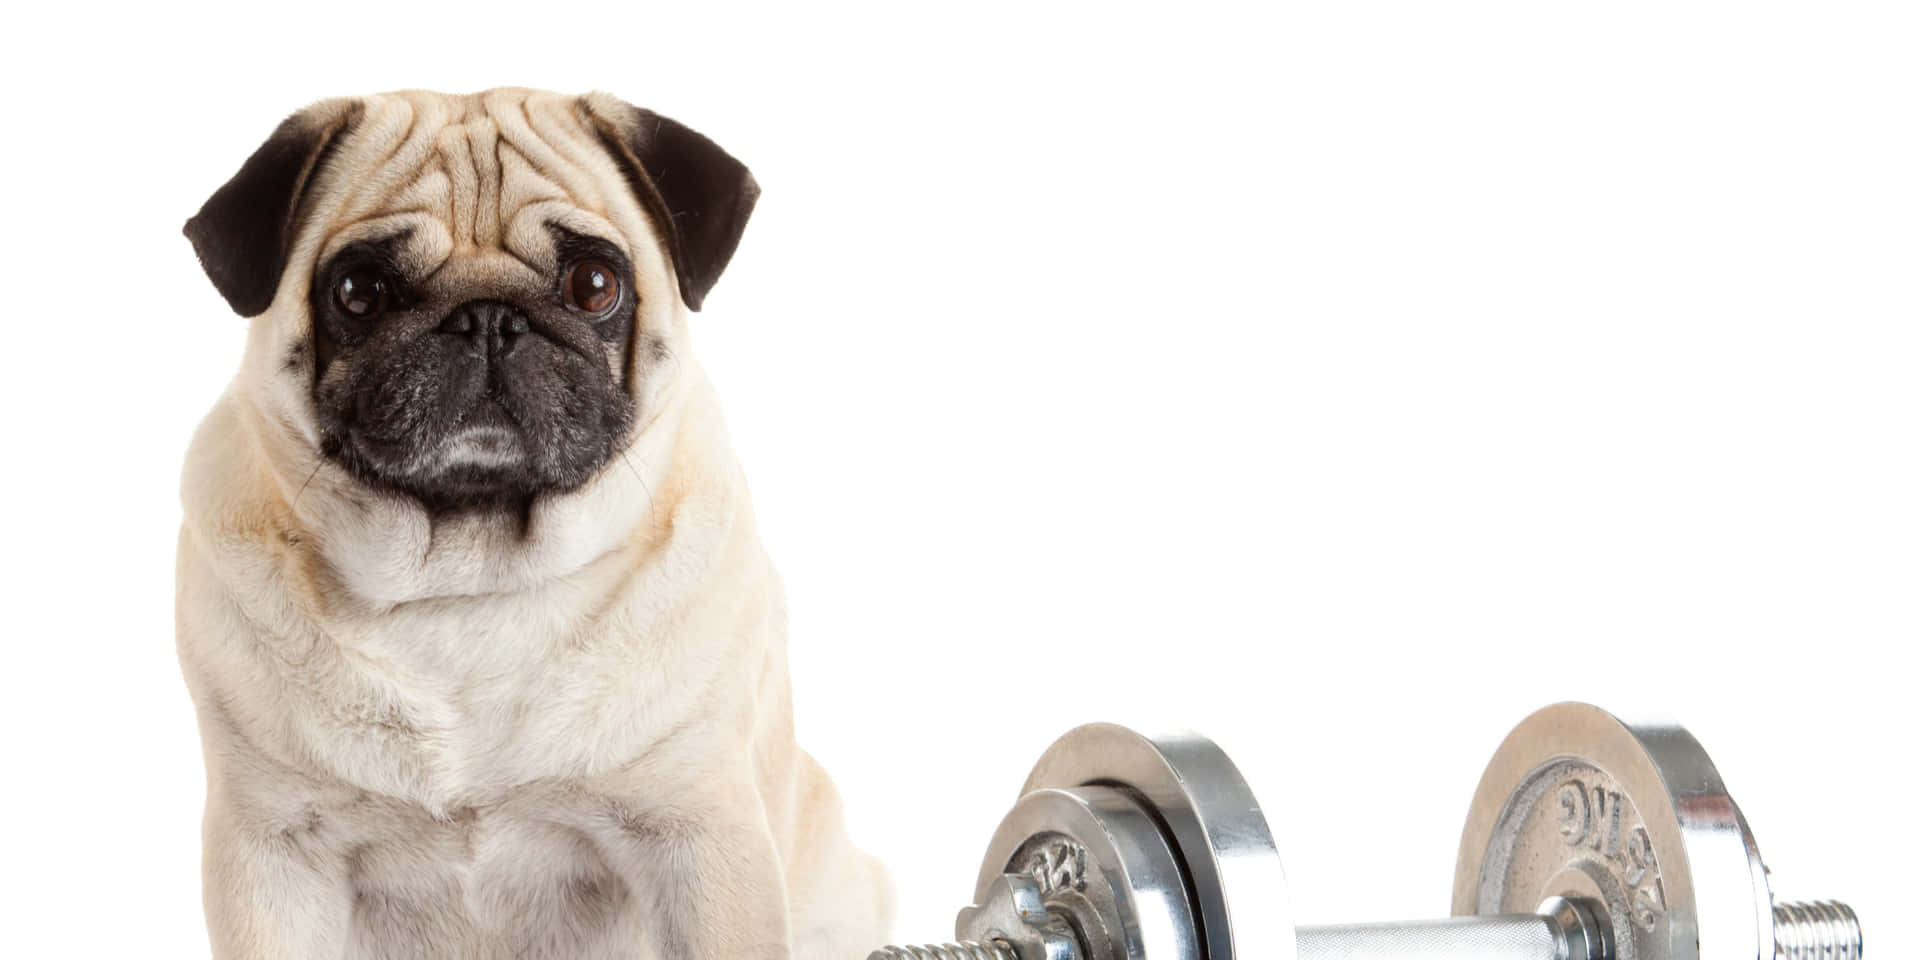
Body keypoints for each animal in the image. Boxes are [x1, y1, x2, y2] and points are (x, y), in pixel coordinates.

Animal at [172, 90, 890, 960]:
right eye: (359, 291)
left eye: (594, 284)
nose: (487, 318)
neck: (470, 581)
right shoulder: (274, 852)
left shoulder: (703, 839)